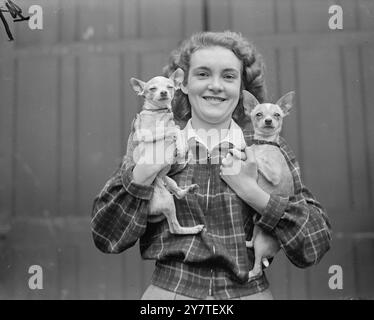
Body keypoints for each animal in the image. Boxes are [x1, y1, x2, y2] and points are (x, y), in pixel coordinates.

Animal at [129, 70, 205, 235]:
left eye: (169, 87)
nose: (163, 92)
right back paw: (194, 229)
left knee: (178, 194)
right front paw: (181, 146)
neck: (159, 113)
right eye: (152, 89)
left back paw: (189, 189)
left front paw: (184, 149)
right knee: (174, 228)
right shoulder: (147, 133)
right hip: (167, 200)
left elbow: (177, 130)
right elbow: (173, 129)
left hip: (169, 180)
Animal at [231, 89, 296, 280]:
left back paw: (249, 274)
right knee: (252, 244)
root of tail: (277, 248)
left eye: (277, 115)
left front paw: (242, 151)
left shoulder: (273, 174)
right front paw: (242, 148)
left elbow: (255, 157)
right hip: (257, 230)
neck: (265, 144)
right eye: (258, 114)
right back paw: (246, 242)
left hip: (262, 243)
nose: (268, 121)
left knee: (258, 268)